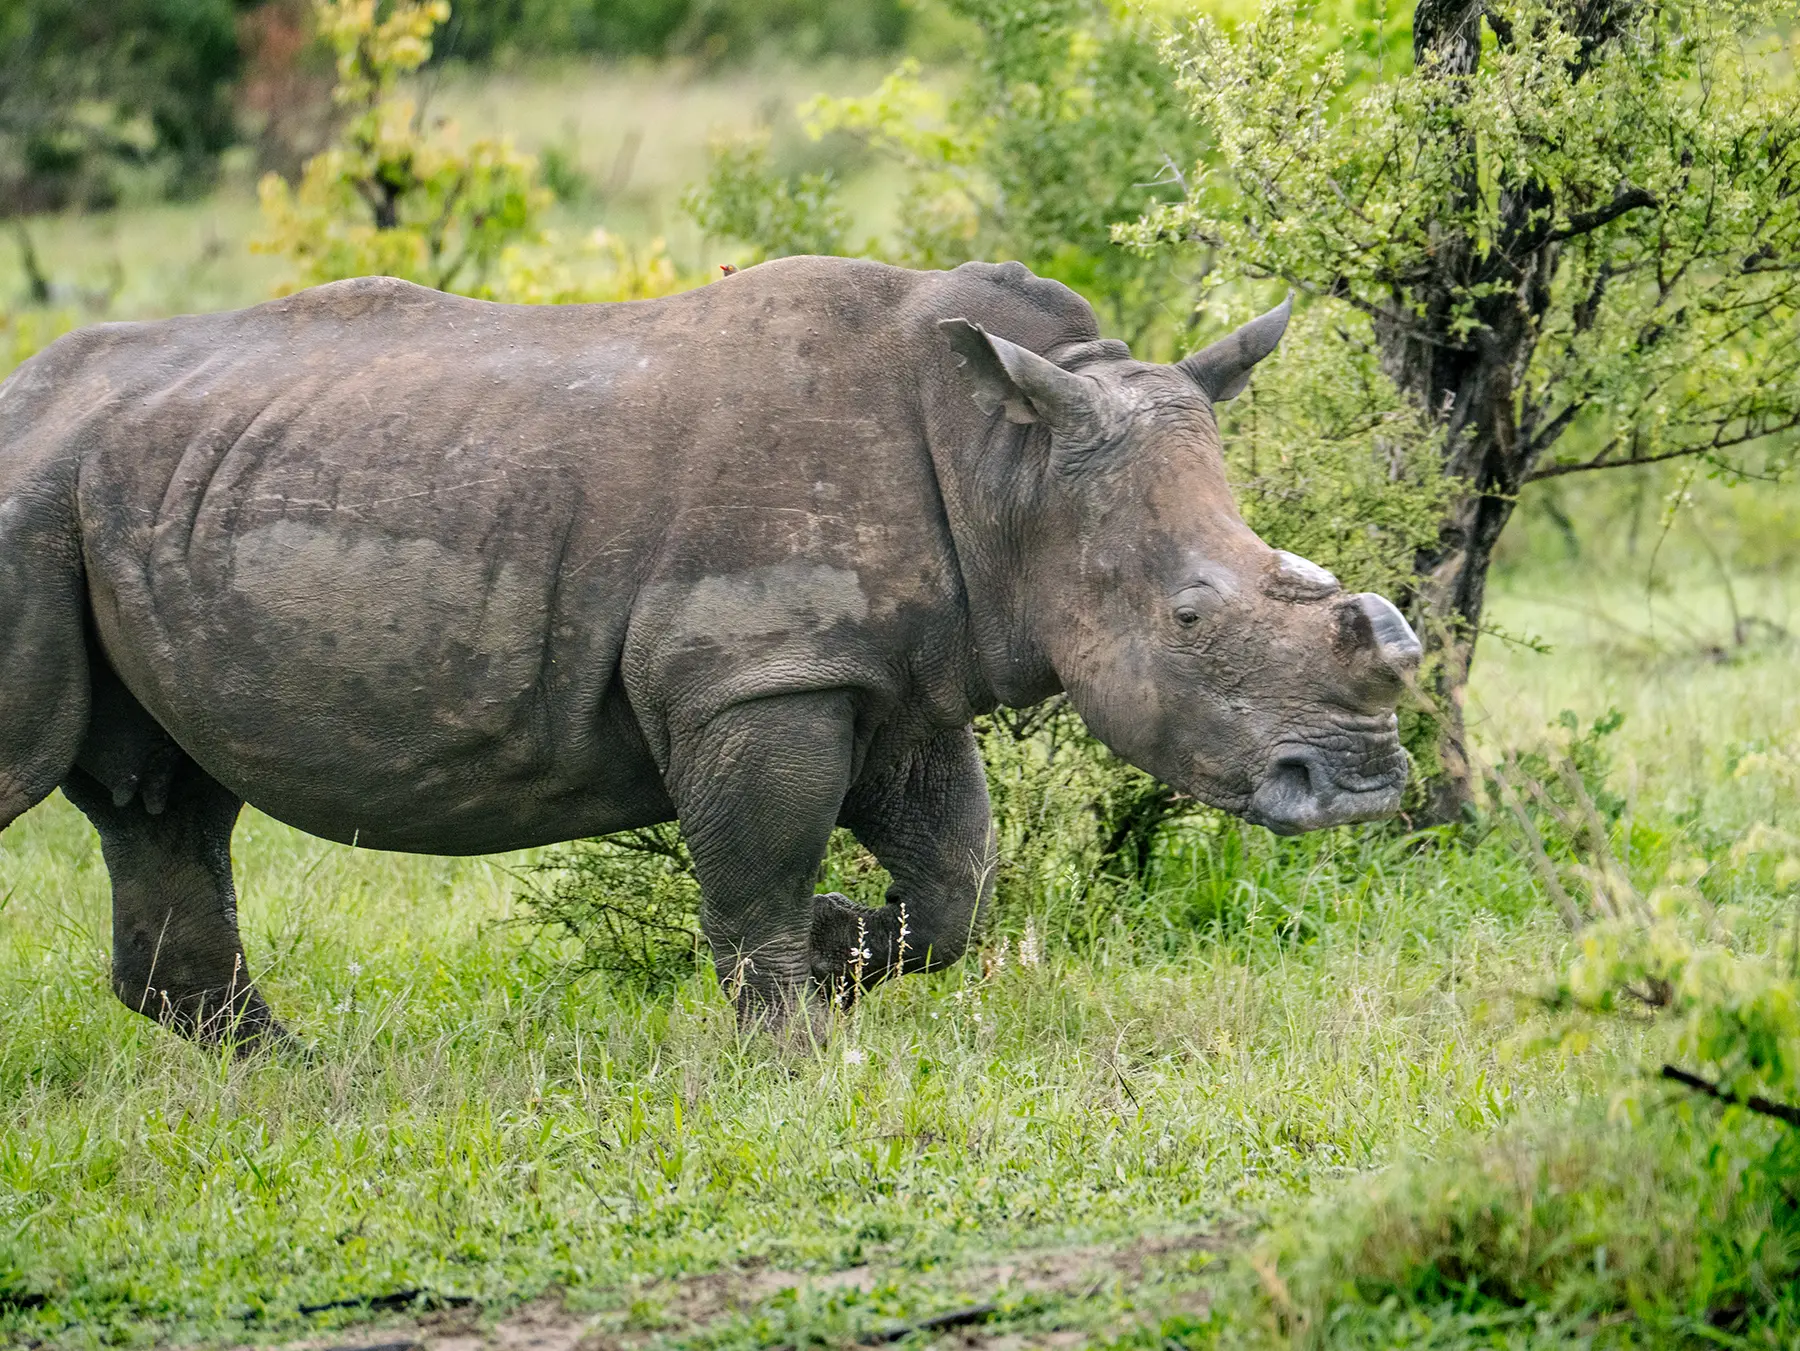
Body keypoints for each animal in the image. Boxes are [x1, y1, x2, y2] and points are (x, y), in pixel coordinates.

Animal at [0, 258, 1420, 1045]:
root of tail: (24, 401)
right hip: (29, 500)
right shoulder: (755, 670)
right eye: (1190, 619)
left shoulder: (892, 674)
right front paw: (789, 1050)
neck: (1005, 462)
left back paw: (298, 1080)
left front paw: (847, 948)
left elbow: (957, 878)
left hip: (121, 500)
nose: (1362, 785)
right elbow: (756, 872)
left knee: (166, 800)